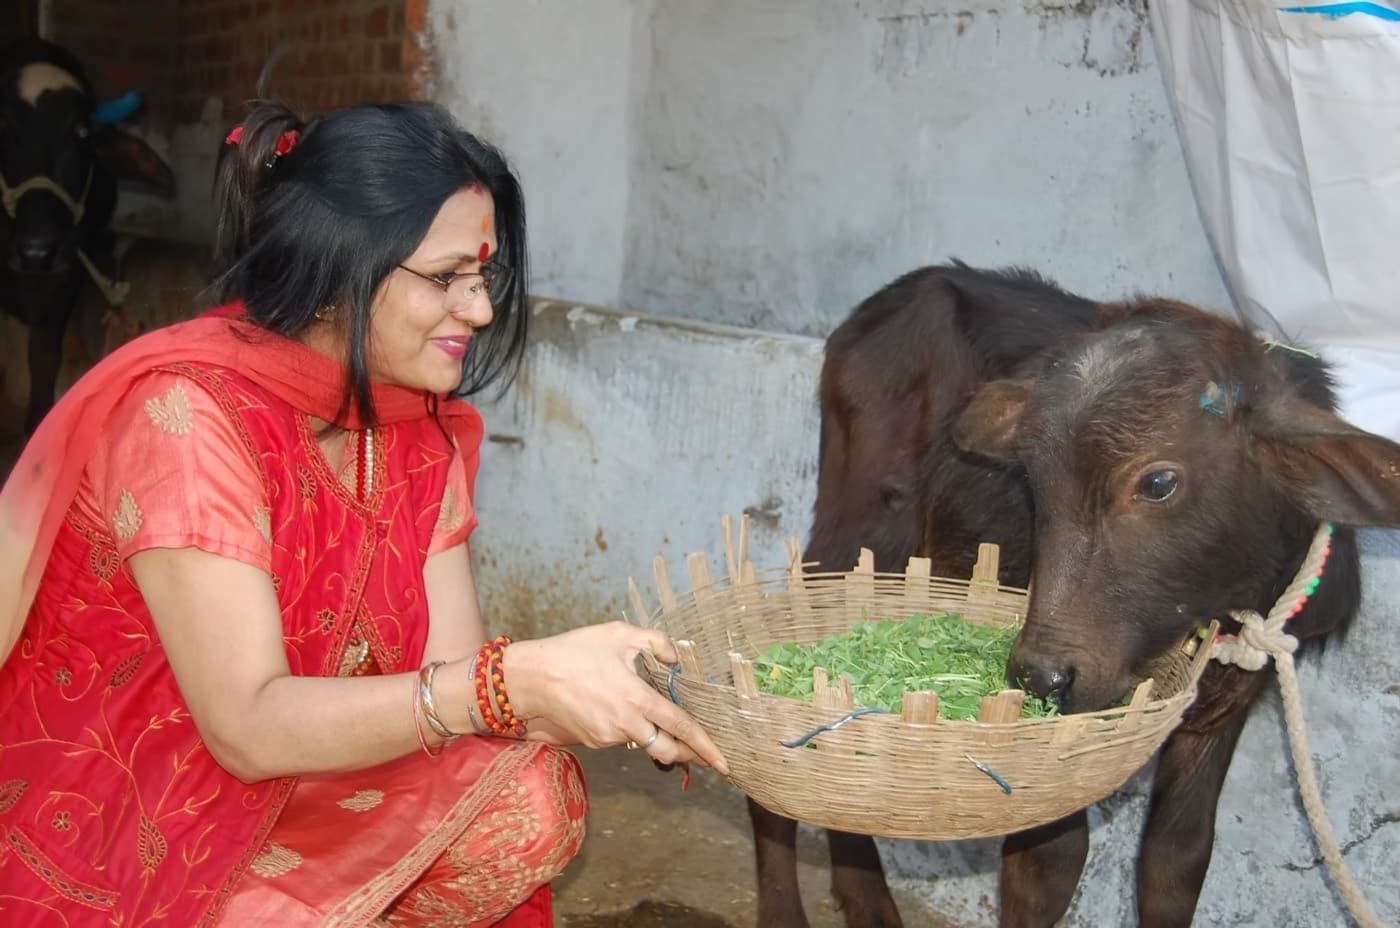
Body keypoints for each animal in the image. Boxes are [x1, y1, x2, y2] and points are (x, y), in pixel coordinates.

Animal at [749, 262, 1400, 928]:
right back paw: (786, 907)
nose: (1043, 676)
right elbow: (1050, 862)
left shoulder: (1228, 706)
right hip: (856, 533)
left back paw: (867, 901)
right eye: (1036, 480)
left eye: (1158, 482)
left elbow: (1178, 858)